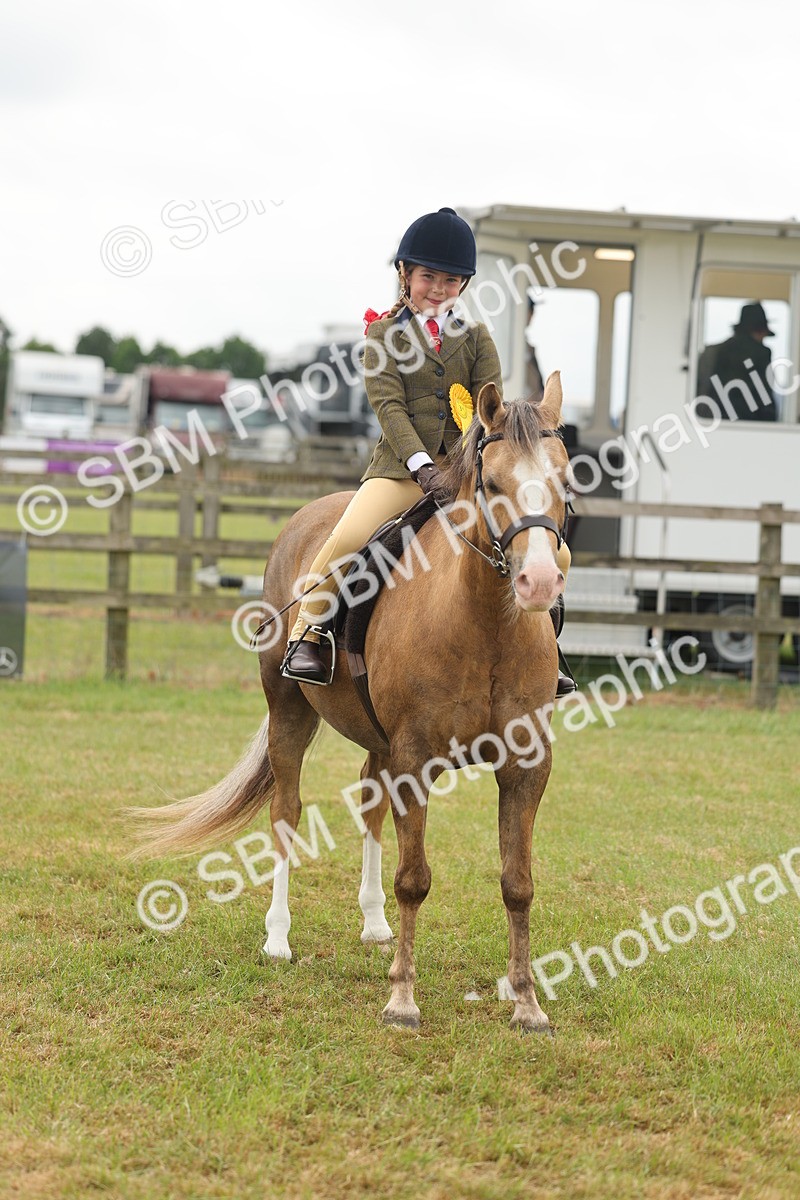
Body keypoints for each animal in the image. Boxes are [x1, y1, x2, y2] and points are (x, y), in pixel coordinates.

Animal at [131, 374, 572, 1033]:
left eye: (565, 481)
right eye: (492, 483)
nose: (539, 582)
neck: (485, 624)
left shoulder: (525, 764)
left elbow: (517, 882)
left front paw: (526, 1002)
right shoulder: (416, 757)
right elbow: (414, 878)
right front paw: (402, 1000)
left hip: (378, 737)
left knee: (370, 802)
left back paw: (373, 923)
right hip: (290, 712)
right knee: (286, 813)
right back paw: (278, 938)